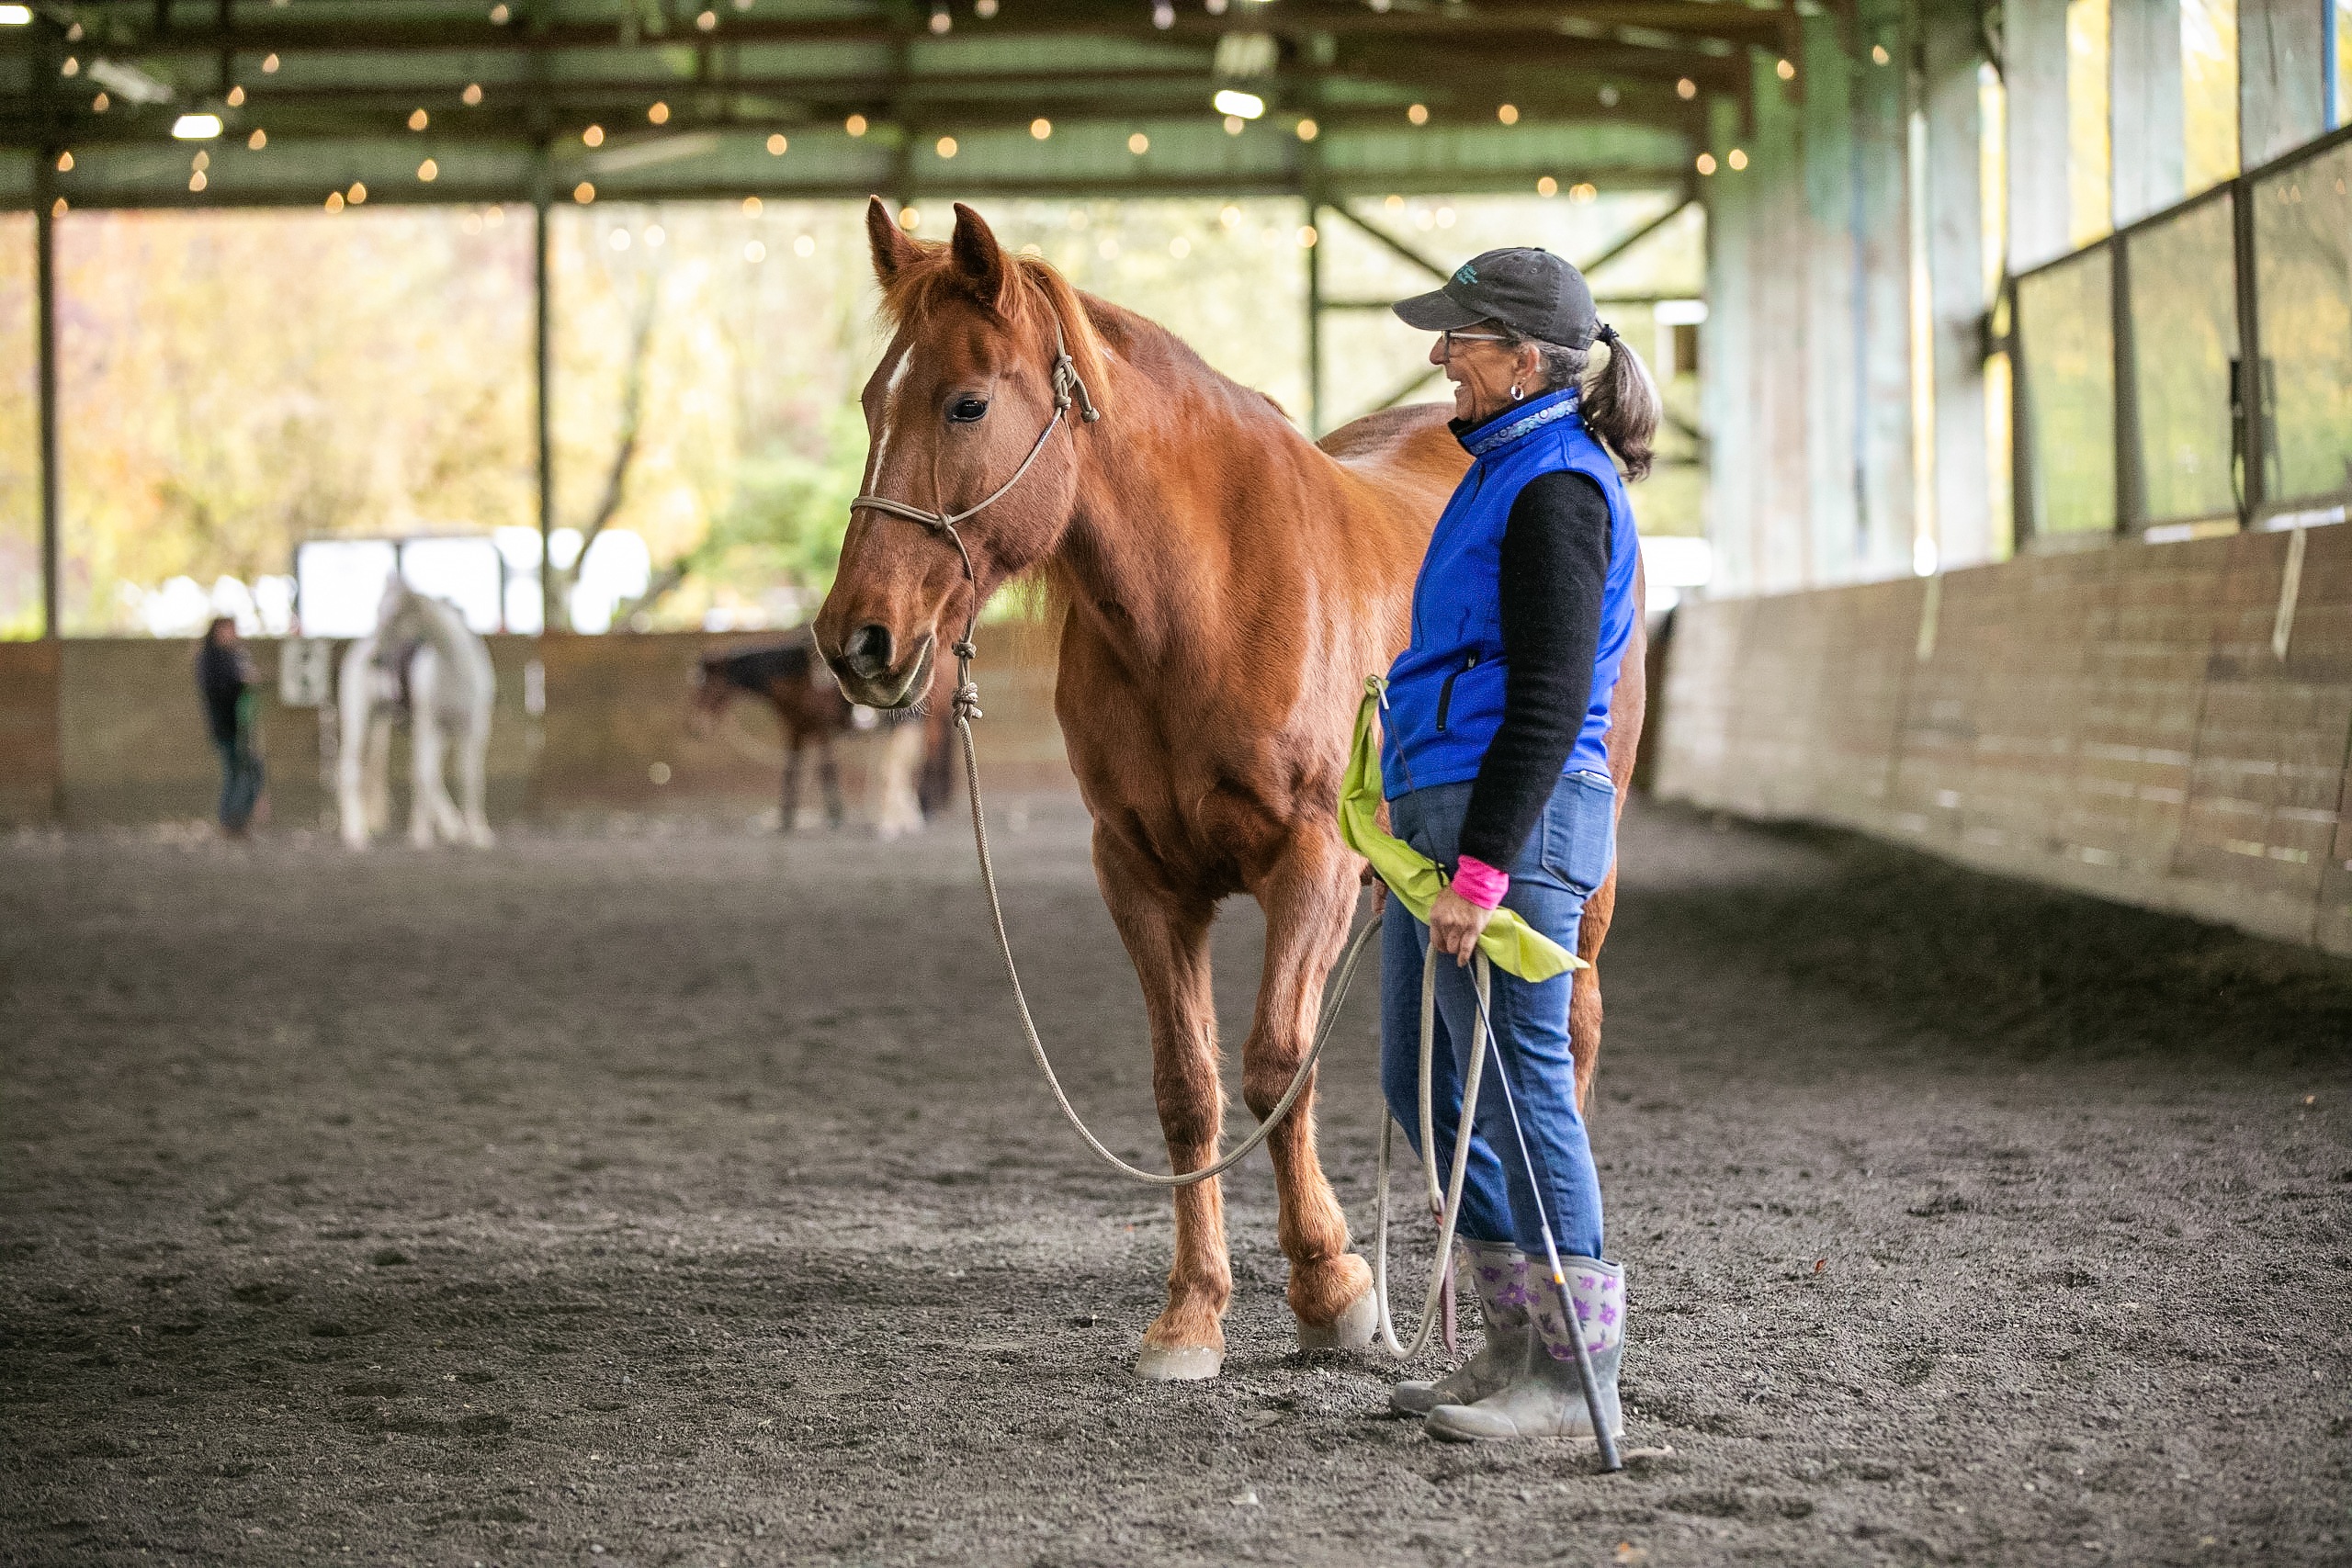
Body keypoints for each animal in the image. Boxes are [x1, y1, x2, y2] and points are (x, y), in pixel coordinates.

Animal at [336, 581, 496, 846]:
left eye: (393, 616)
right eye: (377, 610)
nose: (376, 660)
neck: (453, 665)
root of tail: (362, 646)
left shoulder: (474, 728)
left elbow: (470, 777)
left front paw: (478, 833)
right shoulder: (429, 725)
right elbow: (426, 774)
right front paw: (433, 832)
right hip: (359, 717)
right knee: (351, 769)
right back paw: (356, 833)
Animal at [818, 199, 1646, 1382]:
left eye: (966, 401)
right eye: (870, 401)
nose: (856, 640)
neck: (1197, 605)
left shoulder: (1312, 866)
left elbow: (1273, 1070)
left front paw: (1330, 1287)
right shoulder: (1140, 874)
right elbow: (1187, 1089)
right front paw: (1191, 1311)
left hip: (1577, 867)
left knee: (1567, 1026)